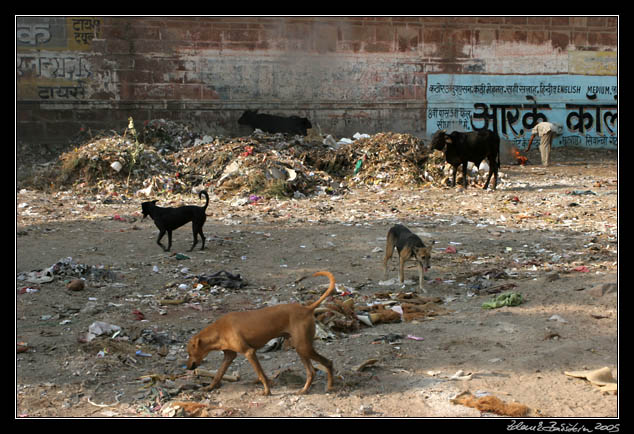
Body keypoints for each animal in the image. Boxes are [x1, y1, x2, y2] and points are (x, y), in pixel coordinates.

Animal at [185, 270, 336, 396]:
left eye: (189, 353)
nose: (187, 368)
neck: (219, 330)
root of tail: (307, 309)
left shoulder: (249, 352)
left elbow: (261, 375)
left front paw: (267, 391)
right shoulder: (229, 356)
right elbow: (218, 374)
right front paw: (209, 387)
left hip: (303, 347)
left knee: (328, 362)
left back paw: (329, 387)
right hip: (300, 348)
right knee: (311, 372)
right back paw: (304, 390)